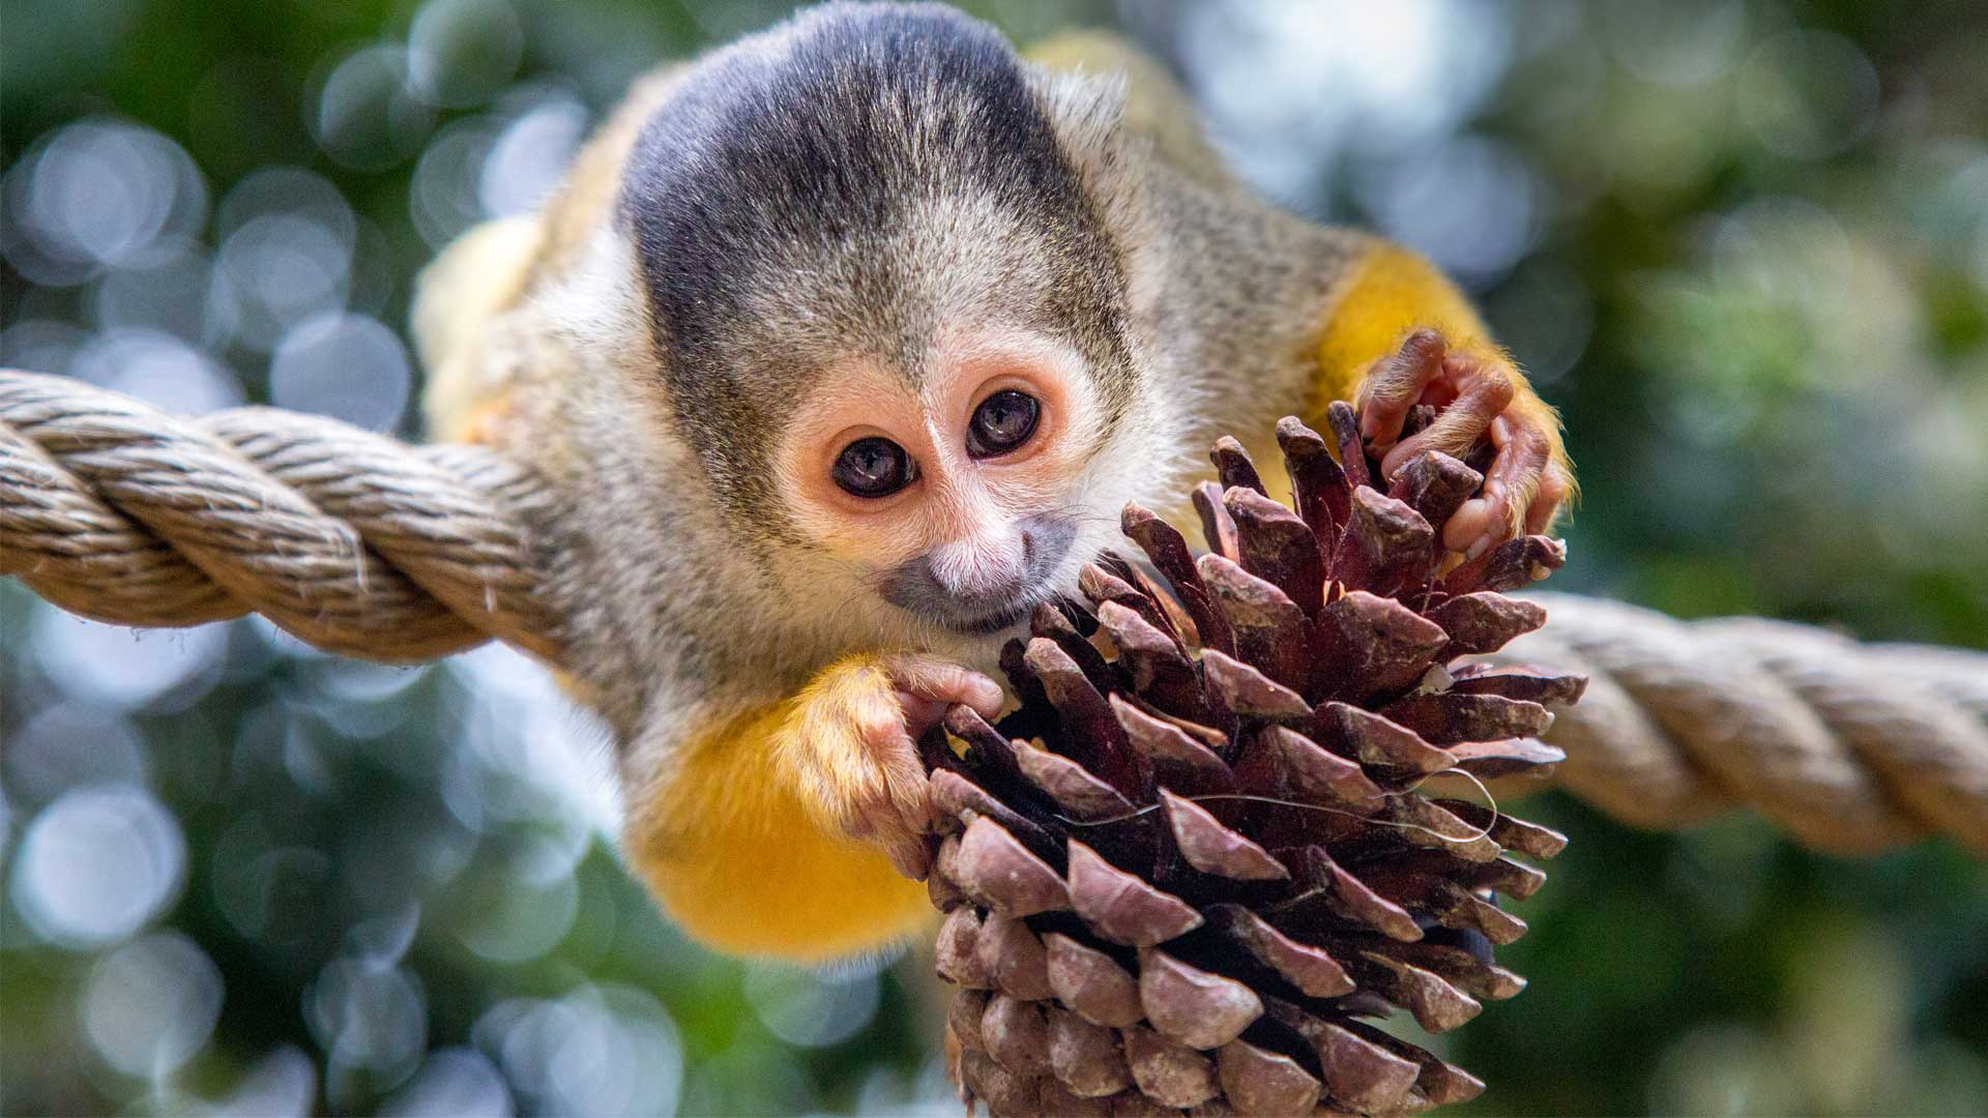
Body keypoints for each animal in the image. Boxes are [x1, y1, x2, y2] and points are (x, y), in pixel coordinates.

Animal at [412, 3, 1574, 963]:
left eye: (1002, 419)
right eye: (872, 466)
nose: (985, 560)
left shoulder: (1188, 289)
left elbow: (1331, 288)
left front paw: (1470, 405)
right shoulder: (646, 529)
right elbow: (692, 849)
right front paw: (843, 732)